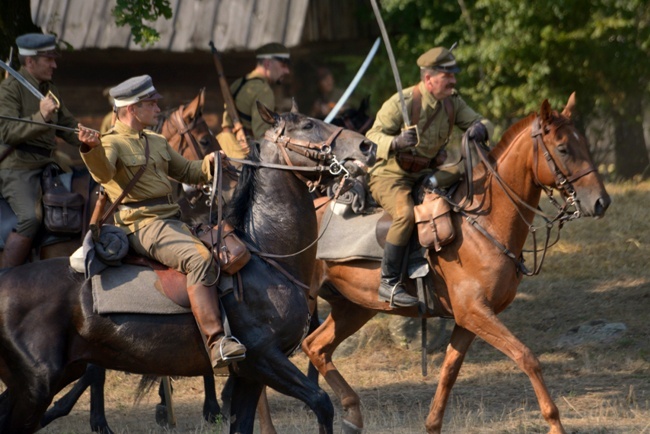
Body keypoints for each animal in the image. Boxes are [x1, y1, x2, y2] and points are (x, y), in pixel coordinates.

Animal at [0, 102, 374, 434]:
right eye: (308, 125)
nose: (366, 146)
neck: (267, 254)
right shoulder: (265, 359)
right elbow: (322, 403)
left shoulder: (250, 375)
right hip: (35, 388)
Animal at [298, 93, 608, 432]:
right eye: (563, 148)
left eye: (584, 144)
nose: (601, 202)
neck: (483, 223)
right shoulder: (475, 312)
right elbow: (527, 357)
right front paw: (554, 423)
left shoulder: (468, 320)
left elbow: (449, 370)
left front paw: (432, 424)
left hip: (353, 308)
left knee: (315, 346)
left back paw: (351, 413)